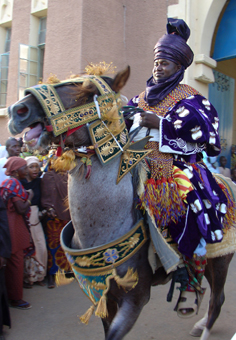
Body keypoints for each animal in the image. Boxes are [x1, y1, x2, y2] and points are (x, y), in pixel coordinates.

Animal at [7, 65, 236, 338]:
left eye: (88, 91)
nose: (18, 110)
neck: (102, 228)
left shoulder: (135, 299)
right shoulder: (103, 296)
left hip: (221, 258)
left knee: (218, 298)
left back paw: (203, 327)